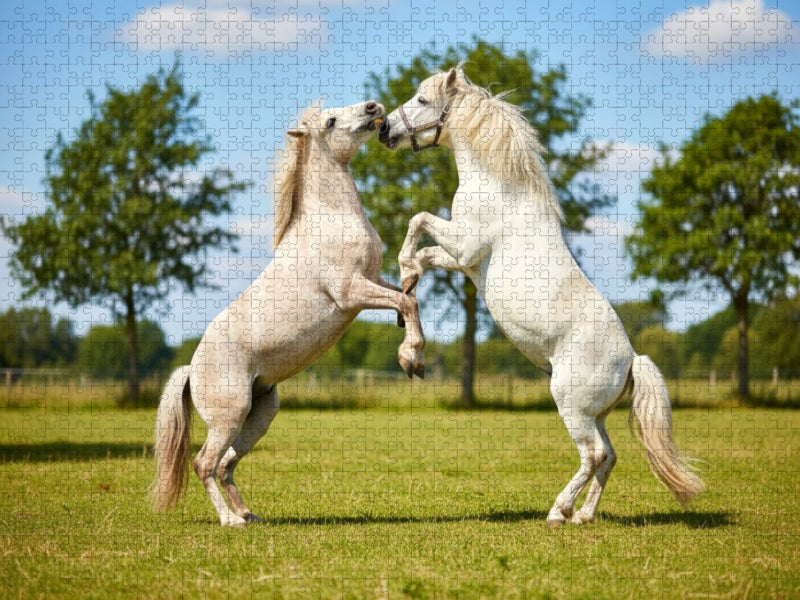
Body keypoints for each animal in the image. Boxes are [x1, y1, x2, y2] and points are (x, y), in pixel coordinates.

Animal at [153, 100, 426, 527]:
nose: (373, 108)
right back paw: (230, 521)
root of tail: (191, 370)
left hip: (261, 414)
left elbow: (405, 294)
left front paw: (409, 337)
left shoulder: (371, 280)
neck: (331, 220)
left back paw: (249, 515)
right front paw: (410, 357)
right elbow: (406, 301)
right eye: (330, 121)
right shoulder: (351, 293)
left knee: (226, 465)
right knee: (204, 463)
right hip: (229, 417)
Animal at [378, 68, 704, 527]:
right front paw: (409, 292)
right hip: (594, 414)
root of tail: (631, 361)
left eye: (423, 100)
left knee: (594, 454)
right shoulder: (461, 261)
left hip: (571, 405)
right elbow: (424, 251)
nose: (384, 129)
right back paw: (583, 515)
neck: (496, 186)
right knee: (609, 456)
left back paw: (558, 511)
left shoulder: (465, 249)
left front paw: (406, 273)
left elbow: (417, 221)